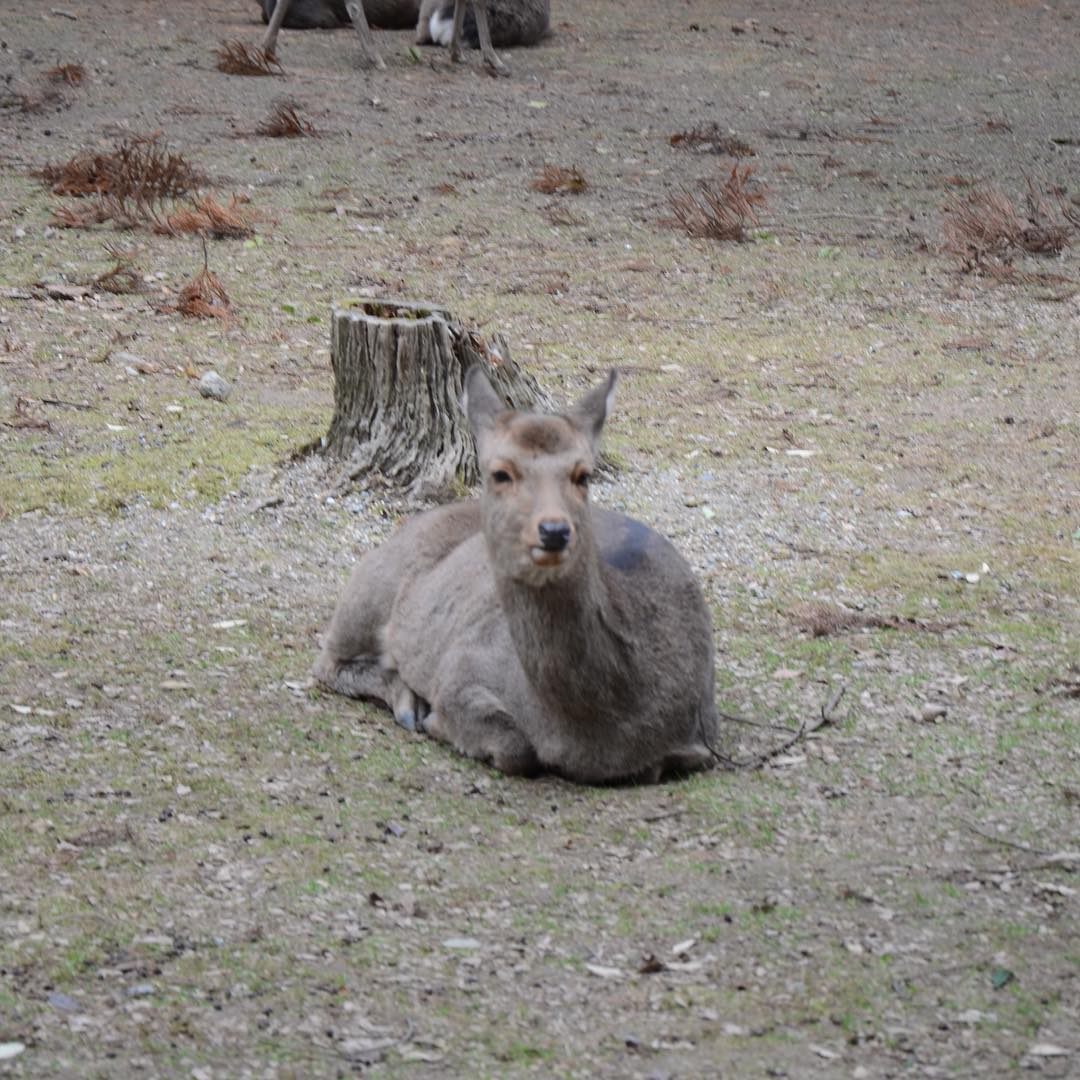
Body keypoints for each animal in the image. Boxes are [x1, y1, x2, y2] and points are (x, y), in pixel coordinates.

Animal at [314, 368, 719, 784]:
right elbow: (515, 748)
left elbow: (684, 759)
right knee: (327, 662)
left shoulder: (703, 727)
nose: (554, 531)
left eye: (583, 475)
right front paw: (437, 722)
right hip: (370, 588)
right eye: (500, 473)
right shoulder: (460, 669)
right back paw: (408, 703)